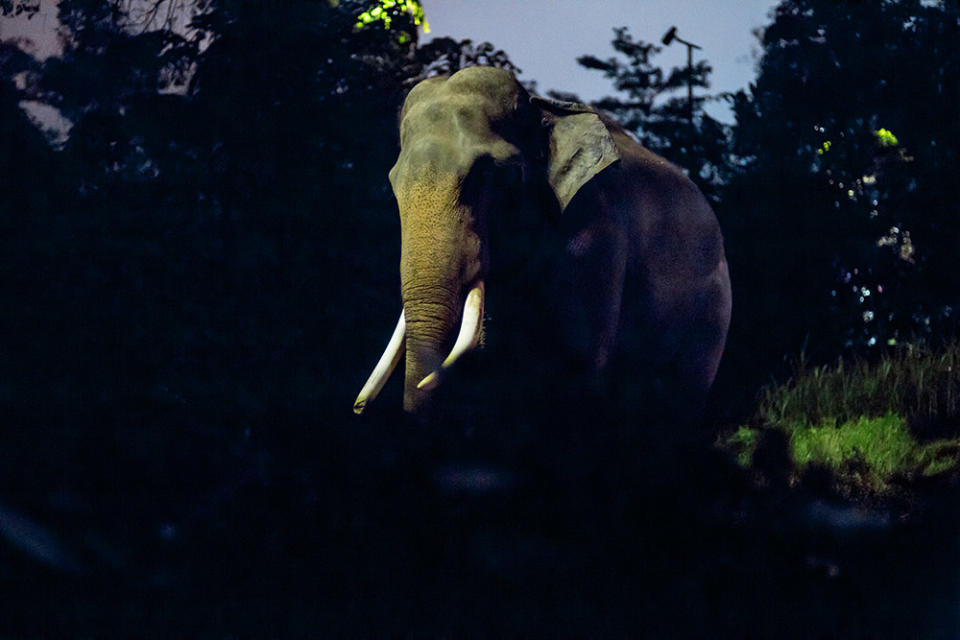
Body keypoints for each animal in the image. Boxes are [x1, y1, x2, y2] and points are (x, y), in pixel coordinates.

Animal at [356, 66, 732, 420]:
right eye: (393, 182)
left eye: (493, 175)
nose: (359, 409)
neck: (543, 112)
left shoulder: (596, 234)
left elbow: (576, 369)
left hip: (712, 316)